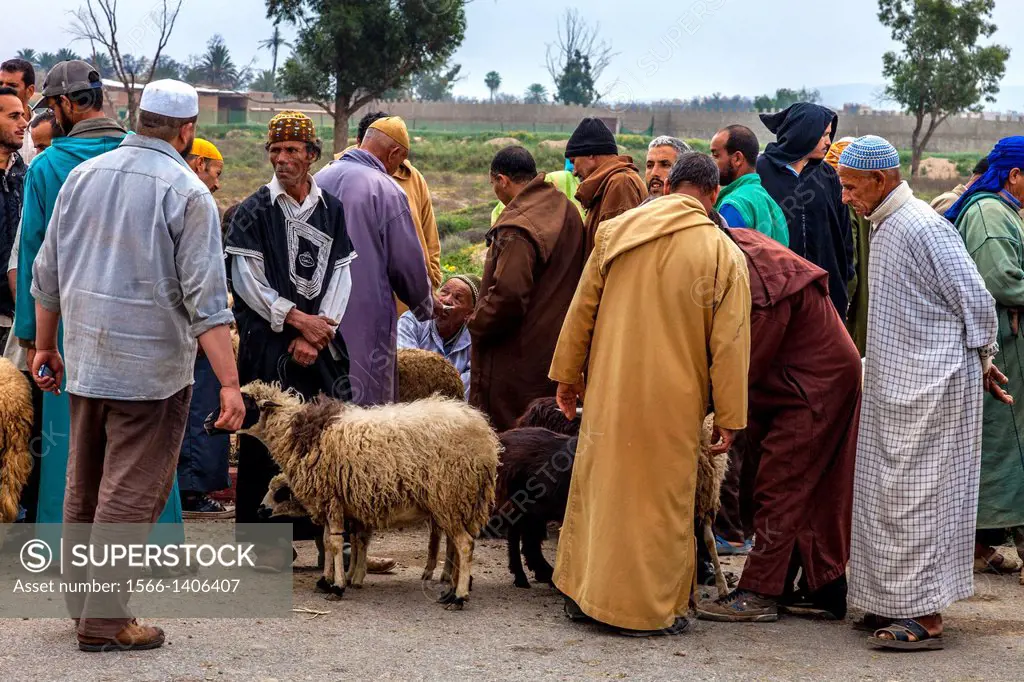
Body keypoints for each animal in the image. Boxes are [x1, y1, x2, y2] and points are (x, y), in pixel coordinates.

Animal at [223, 378, 495, 606]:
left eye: (246, 401)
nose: (260, 510)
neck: (299, 435)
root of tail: (484, 435)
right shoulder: (335, 502)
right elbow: (333, 541)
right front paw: (329, 580)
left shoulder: (333, 499)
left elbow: (335, 542)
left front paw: (338, 586)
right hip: (463, 501)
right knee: (457, 543)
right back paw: (452, 587)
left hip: (449, 496)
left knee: (464, 544)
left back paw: (458, 596)